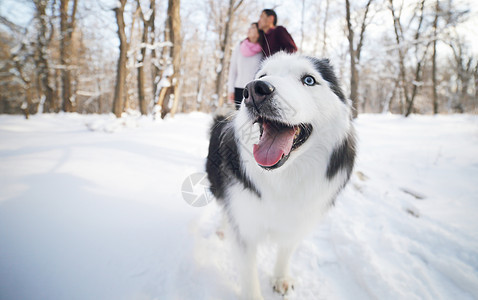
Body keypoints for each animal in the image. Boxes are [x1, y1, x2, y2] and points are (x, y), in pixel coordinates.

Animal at [205, 52, 354, 298]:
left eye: (309, 80)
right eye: (262, 76)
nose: (254, 89)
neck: (284, 177)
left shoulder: (298, 220)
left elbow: (286, 249)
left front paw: (281, 277)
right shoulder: (245, 225)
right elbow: (248, 274)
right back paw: (221, 229)